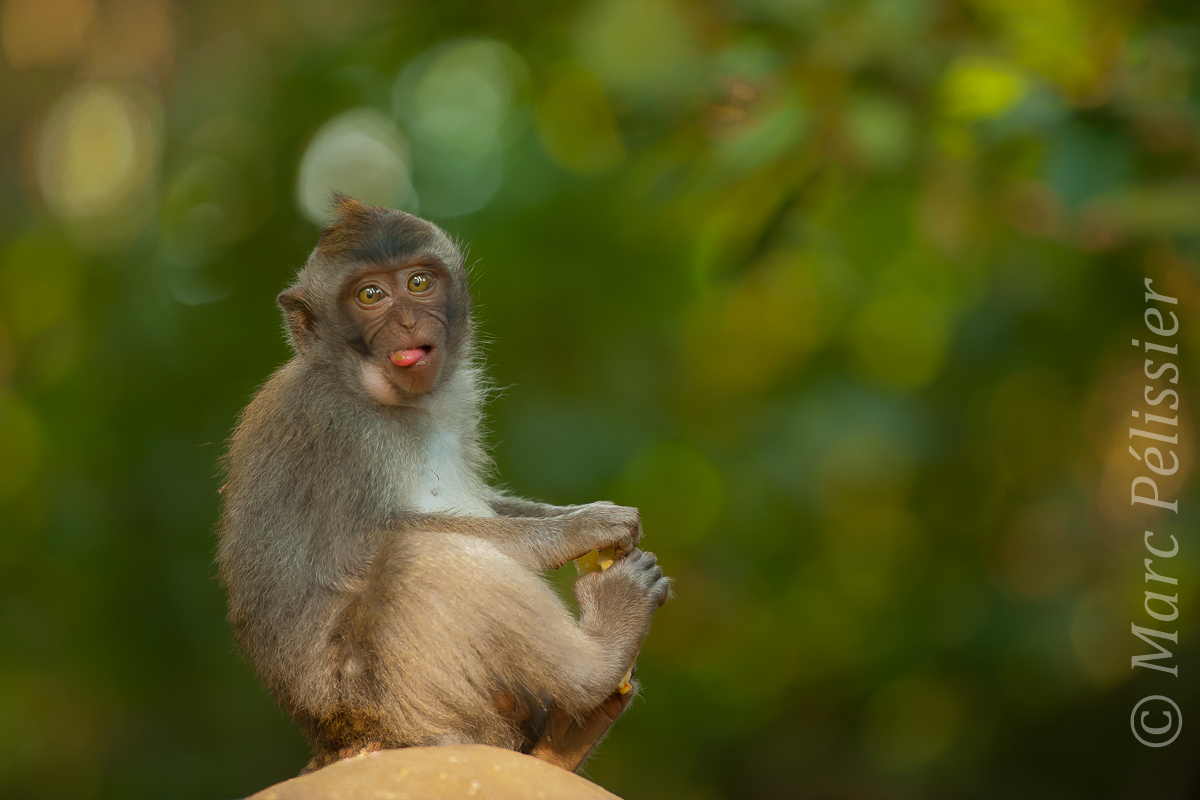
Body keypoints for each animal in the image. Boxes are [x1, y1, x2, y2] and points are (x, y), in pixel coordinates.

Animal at [218, 195, 676, 777]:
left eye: (419, 282)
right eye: (370, 295)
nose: (409, 319)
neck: (388, 398)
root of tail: (333, 745)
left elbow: (488, 504)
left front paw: (578, 514)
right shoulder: (334, 426)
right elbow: (360, 546)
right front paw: (582, 528)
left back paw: (565, 739)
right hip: (389, 704)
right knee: (419, 560)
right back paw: (597, 661)